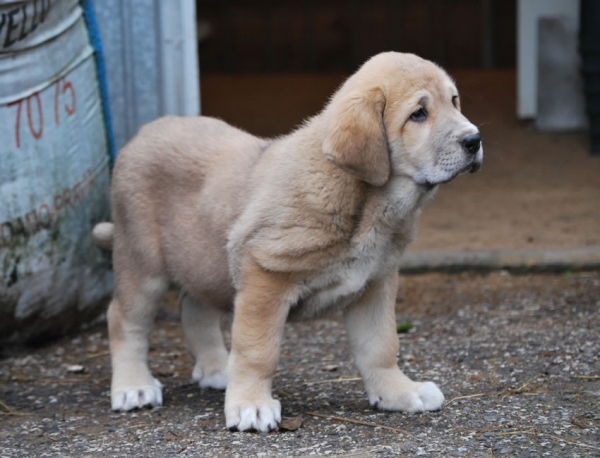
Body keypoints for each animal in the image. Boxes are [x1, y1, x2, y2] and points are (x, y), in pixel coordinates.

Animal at [96, 52, 486, 432]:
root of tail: (144, 133)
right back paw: (133, 386)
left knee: (194, 307)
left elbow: (381, 346)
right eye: (418, 114)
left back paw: (217, 368)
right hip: (142, 264)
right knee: (124, 319)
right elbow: (258, 352)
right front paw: (251, 405)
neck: (368, 206)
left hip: (202, 258)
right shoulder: (265, 276)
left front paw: (398, 392)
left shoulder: (375, 283)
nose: (475, 139)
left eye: (454, 101)